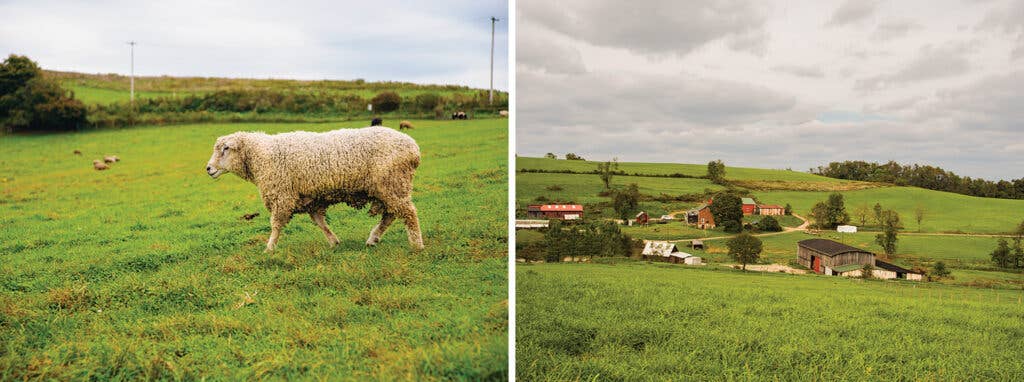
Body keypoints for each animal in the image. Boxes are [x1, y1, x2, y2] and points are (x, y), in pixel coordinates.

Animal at [205, 125, 421, 249]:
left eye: (226, 148)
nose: (208, 169)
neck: (261, 156)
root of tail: (414, 148)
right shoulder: (310, 198)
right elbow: (320, 222)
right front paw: (334, 242)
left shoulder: (282, 195)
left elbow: (276, 225)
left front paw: (269, 248)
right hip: (389, 186)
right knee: (391, 214)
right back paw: (373, 238)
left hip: (391, 182)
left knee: (408, 212)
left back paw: (417, 244)